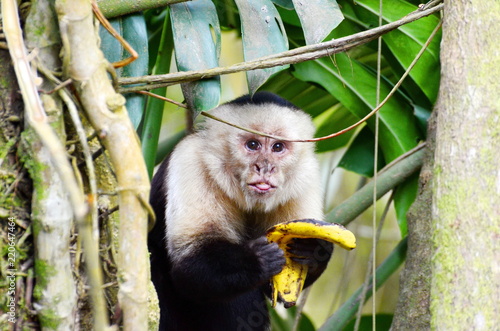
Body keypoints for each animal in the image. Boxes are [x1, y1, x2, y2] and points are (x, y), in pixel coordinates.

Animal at [150, 92, 334, 331]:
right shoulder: (191, 161)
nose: (265, 167)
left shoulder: (305, 177)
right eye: (253, 144)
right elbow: (190, 264)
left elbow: (273, 288)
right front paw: (257, 260)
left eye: (277, 147)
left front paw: (313, 249)